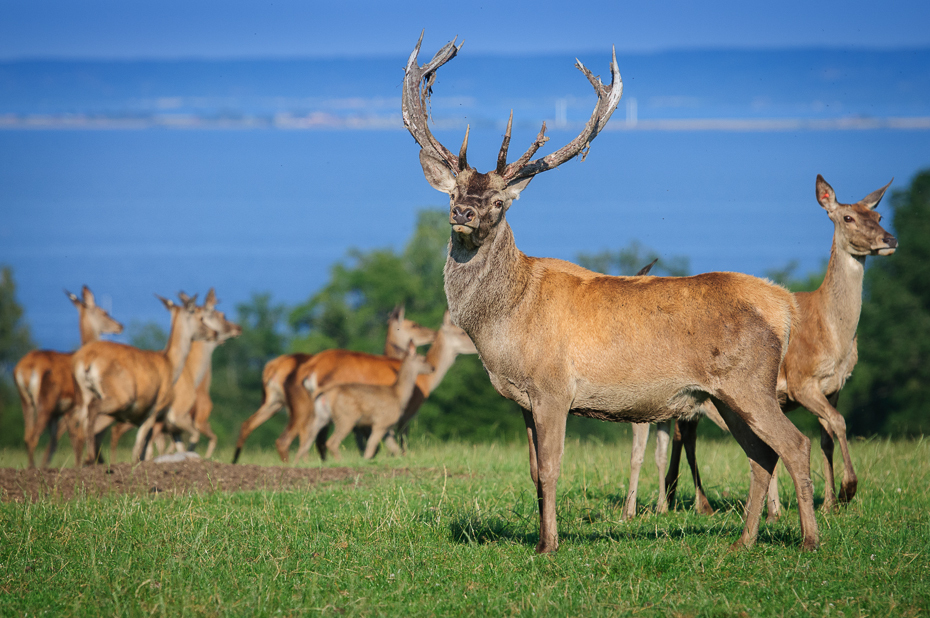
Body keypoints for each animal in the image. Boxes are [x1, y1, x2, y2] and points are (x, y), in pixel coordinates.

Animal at [13, 286, 123, 464]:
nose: (120, 326)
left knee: (28, 436)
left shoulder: (63, 412)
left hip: (26, 402)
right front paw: (82, 464)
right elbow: (78, 437)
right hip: (46, 403)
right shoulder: (75, 408)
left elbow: (61, 441)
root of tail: (25, 369)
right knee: (35, 436)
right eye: (104, 312)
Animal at [232, 304, 436, 462]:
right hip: (302, 408)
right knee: (294, 438)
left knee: (247, 425)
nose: (433, 333)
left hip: (275, 403)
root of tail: (272, 368)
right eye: (414, 324)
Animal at [402, 33, 816, 552]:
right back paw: (743, 541)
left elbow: (552, 470)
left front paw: (549, 545)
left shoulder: (553, 386)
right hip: (723, 395)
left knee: (796, 444)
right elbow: (534, 473)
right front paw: (541, 538)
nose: (464, 213)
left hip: (749, 383)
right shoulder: (523, 400)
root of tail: (783, 305)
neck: (505, 325)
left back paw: (809, 540)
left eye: (498, 201)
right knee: (762, 454)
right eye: (453, 191)